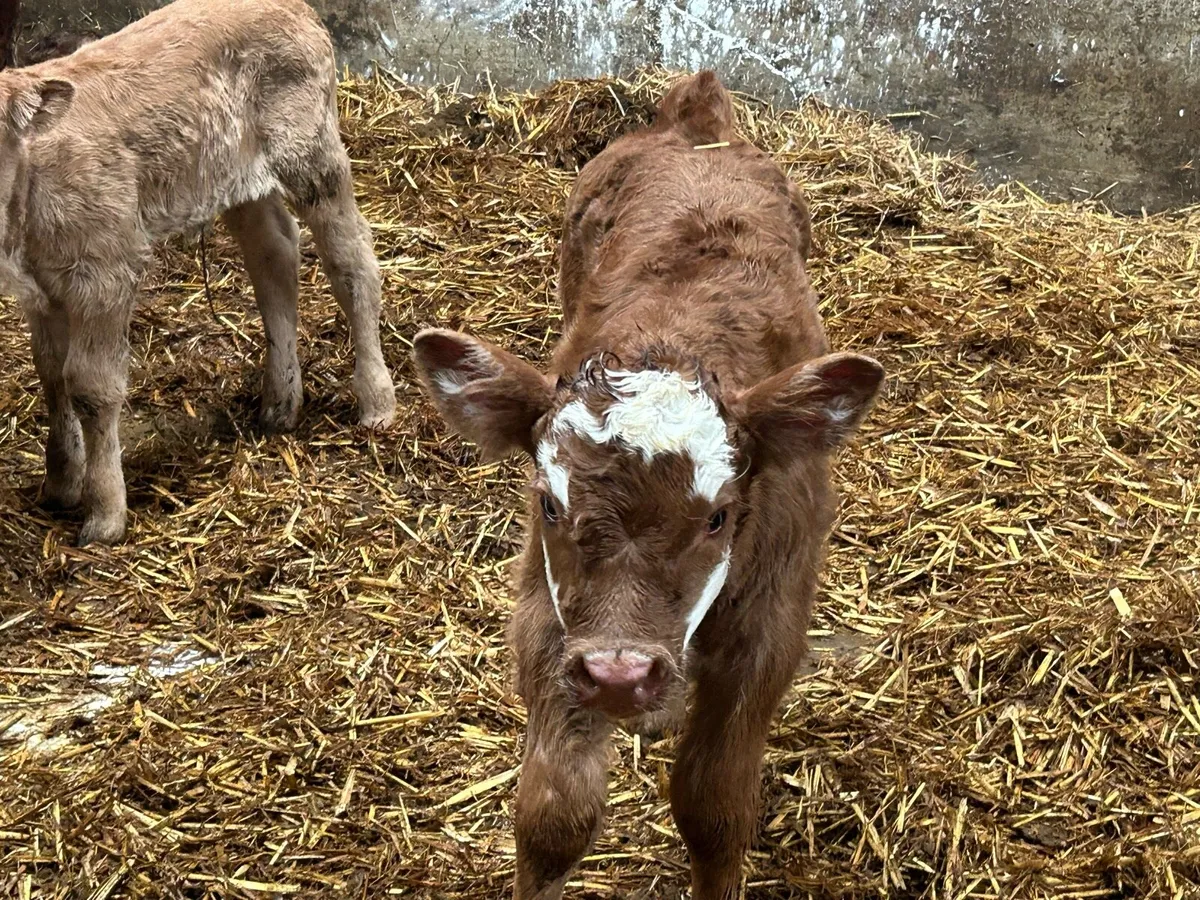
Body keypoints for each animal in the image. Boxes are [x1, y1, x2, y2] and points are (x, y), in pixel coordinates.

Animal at [0, 0, 396, 546]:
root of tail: (299, 10)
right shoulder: (40, 289)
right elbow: (50, 375)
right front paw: (59, 484)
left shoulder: (106, 272)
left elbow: (90, 386)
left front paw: (104, 515)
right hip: (238, 177)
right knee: (274, 253)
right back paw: (280, 404)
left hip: (313, 154)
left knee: (351, 261)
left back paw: (376, 403)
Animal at [412, 71, 885, 898]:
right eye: (549, 503)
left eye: (720, 517)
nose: (619, 675)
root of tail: (694, 121)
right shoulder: (550, 618)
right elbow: (554, 814)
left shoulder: (768, 627)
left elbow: (715, 808)